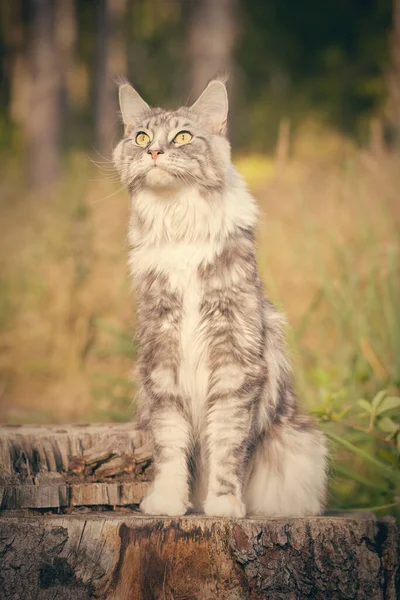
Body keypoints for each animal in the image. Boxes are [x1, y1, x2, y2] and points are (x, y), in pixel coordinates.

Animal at [113, 78, 328, 520]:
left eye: (182, 137)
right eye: (141, 137)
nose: (154, 152)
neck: (177, 219)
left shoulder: (235, 360)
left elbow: (227, 446)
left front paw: (224, 504)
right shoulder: (162, 359)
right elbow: (171, 444)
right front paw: (169, 502)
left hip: (302, 444)